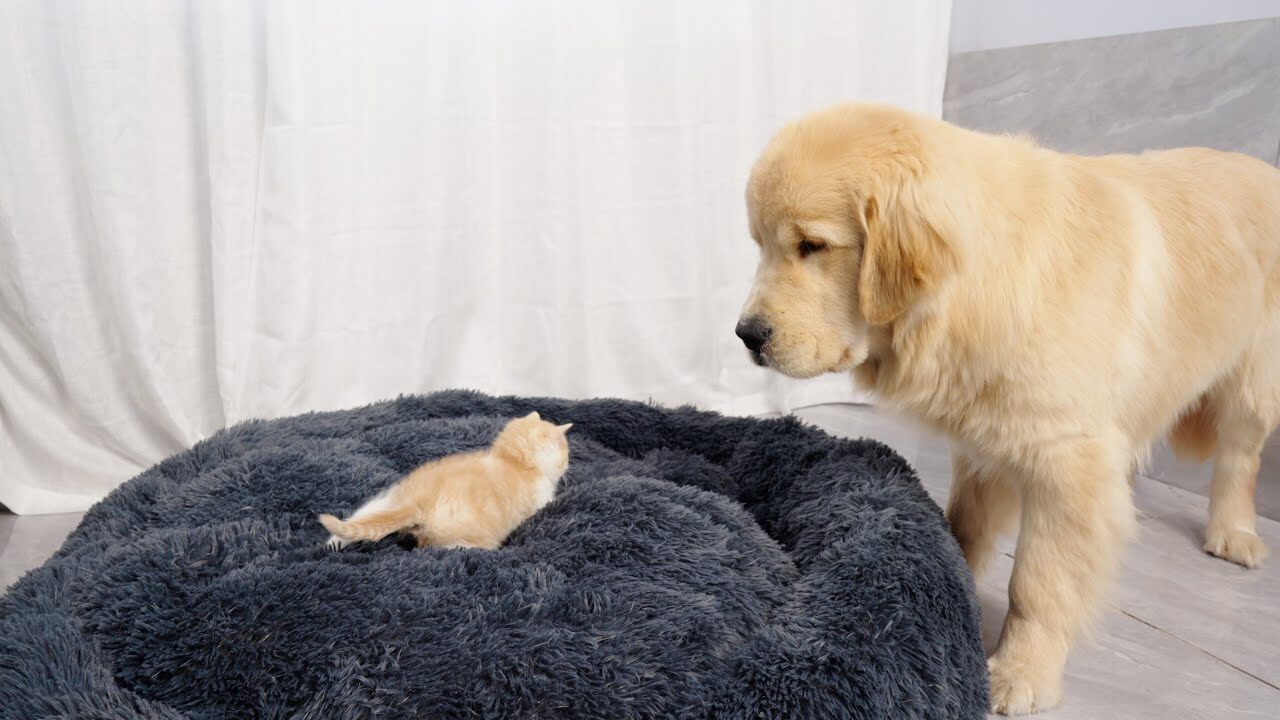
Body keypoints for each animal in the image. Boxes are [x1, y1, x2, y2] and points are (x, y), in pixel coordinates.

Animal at [319, 412, 572, 550]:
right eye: (565, 453)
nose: (568, 464)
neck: (513, 461)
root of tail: (416, 502)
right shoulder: (540, 501)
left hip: (389, 498)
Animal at [736, 102, 1280, 714]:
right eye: (760, 244)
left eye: (811, 245)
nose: (746, 335)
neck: (976, 290)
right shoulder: (984, 442)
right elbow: (964, 529)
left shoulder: (1065, 465)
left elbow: (1038, 585)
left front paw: (1022, 670)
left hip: (1253, 384)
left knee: (1240, 459)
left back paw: (1234, 532)